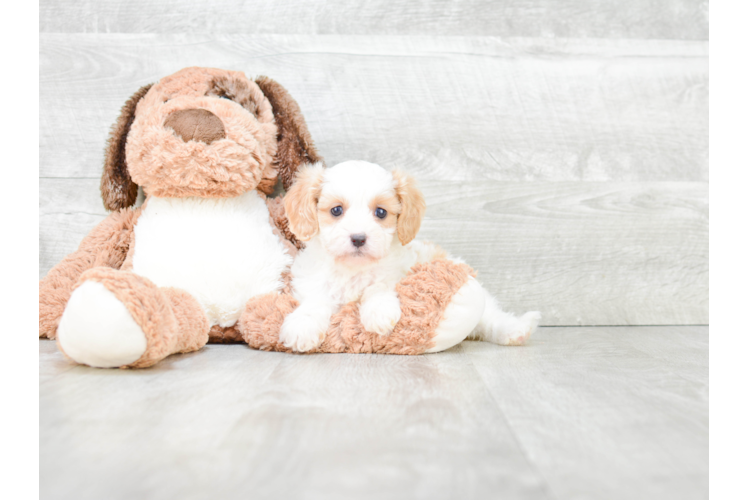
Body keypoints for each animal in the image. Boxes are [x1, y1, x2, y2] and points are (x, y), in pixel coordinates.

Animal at [278, 160, 540, 352]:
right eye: (336, 210)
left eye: (381, 212)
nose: (359, 238)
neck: (354, 269)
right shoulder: (312, 282)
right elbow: (316, 301)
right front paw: (302, 326)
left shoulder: (398, 272)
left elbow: (378, 285)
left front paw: (379, 311)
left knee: (491, 318)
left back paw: (517, 330)